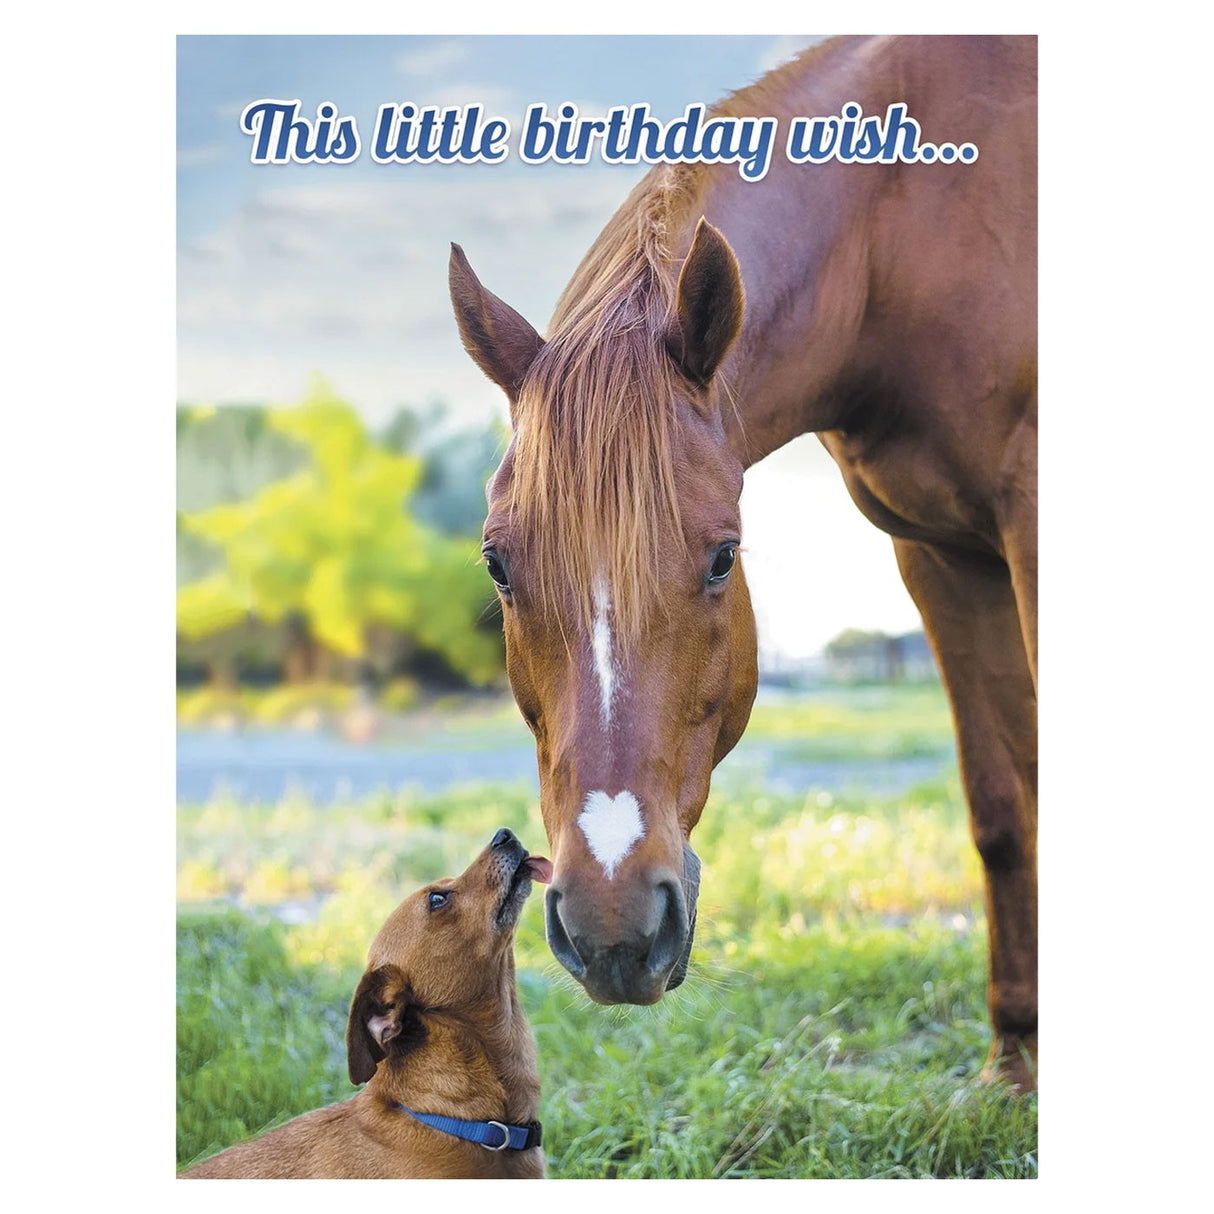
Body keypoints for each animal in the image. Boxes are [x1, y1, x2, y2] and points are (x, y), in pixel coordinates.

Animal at [449, 35, 1037, 1090]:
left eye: (724, 557)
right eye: (497, 568)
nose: (612, 928)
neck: (904, 226)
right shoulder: (941, 554)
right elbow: (1002, 808)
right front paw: (1013, 1067)